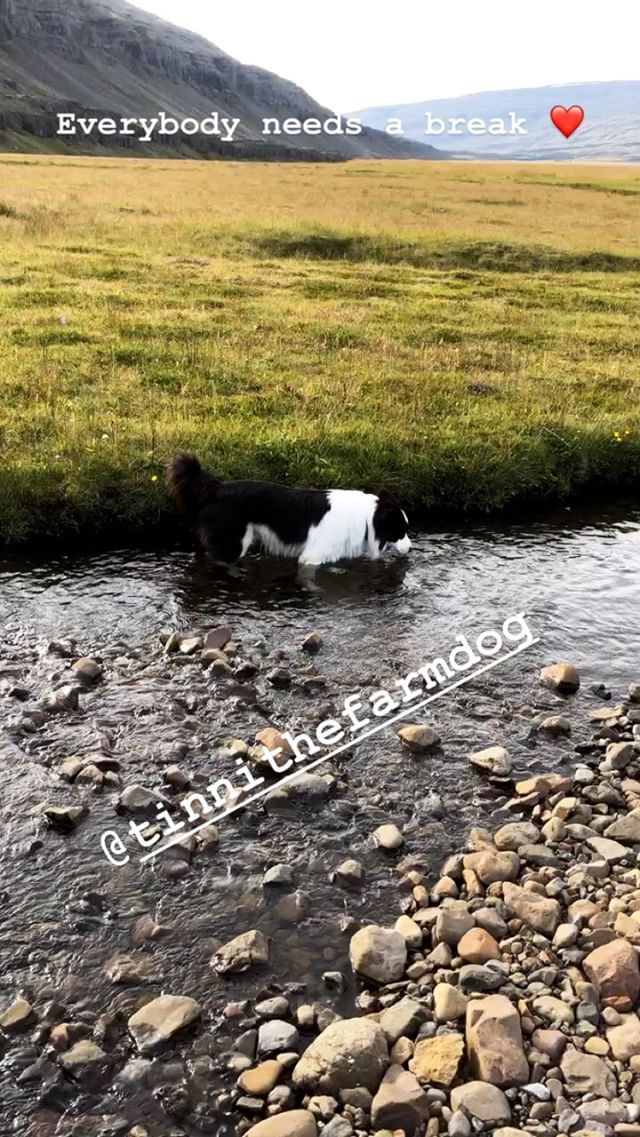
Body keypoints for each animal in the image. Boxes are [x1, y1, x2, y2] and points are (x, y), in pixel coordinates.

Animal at [168, 452, 413, 568]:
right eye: (400, 531)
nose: (411, 549)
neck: (366, 517)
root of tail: (216, 488)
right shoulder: (311, 558)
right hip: (233, 542)